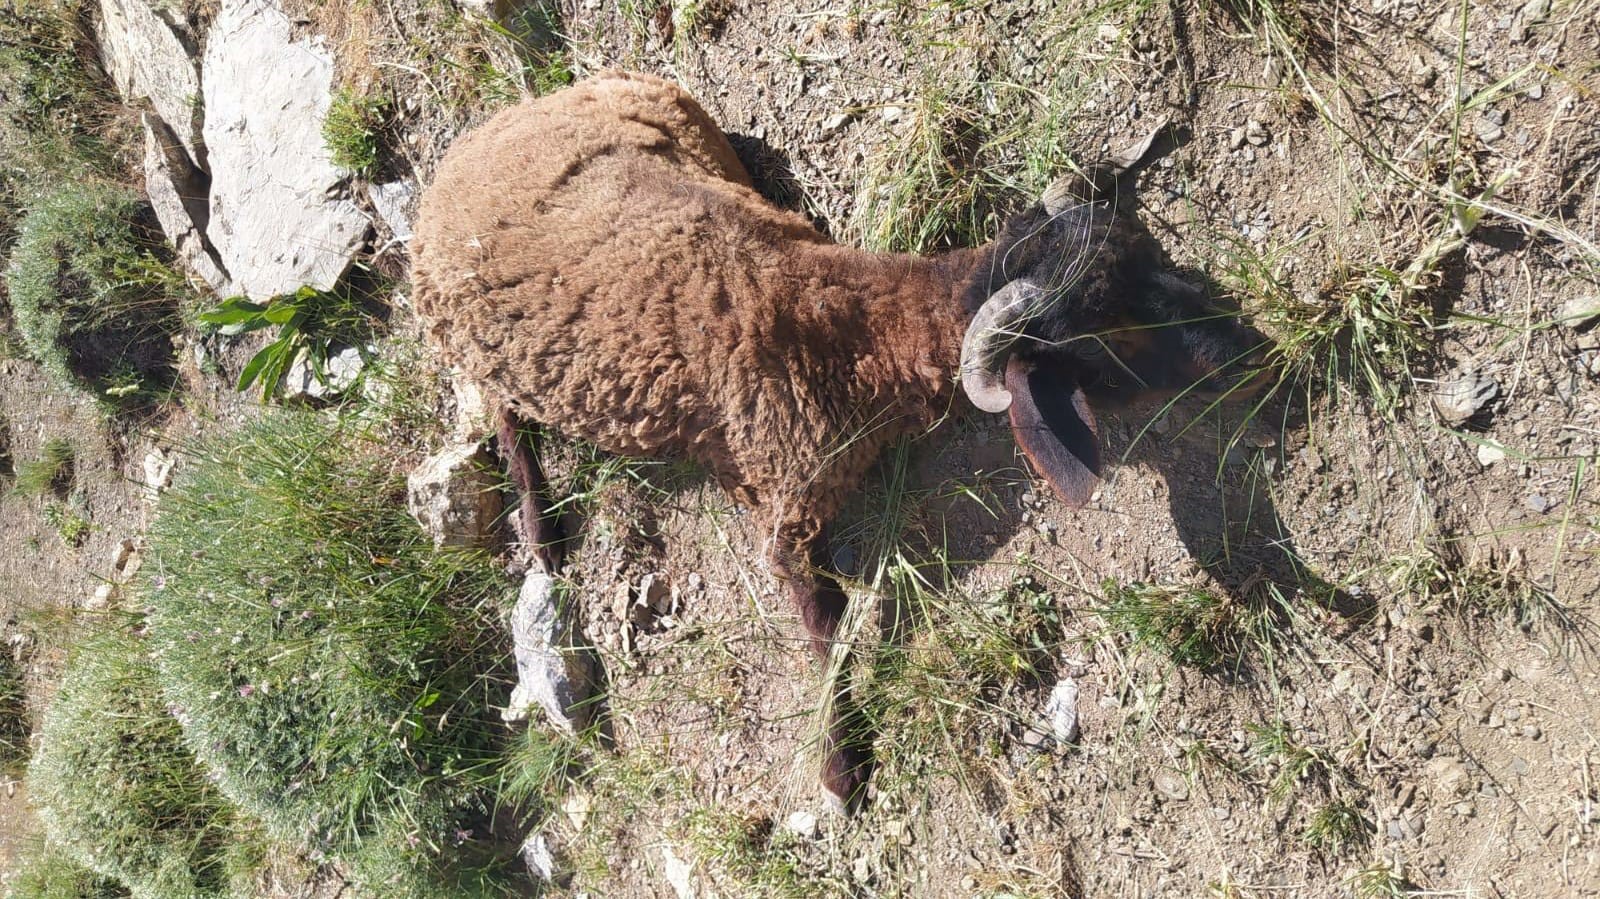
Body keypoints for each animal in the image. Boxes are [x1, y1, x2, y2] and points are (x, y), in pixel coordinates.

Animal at [416, 73, 1273, 809]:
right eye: (1104, 334)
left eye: (1151, 256)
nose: (1253, 351)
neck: (836, 320)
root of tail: (461, 152)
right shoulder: (789, 514)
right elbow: (825, 632)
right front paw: (840, 770)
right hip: (479, 353)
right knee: (502, 422)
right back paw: (541, 532)